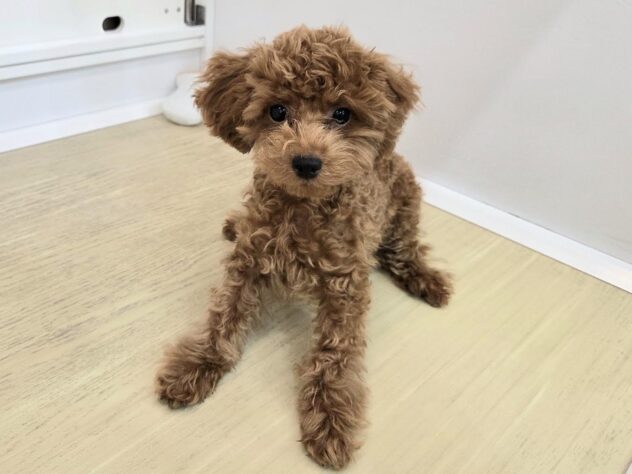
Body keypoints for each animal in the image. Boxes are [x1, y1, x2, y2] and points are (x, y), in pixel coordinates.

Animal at [156, 25, 452, 469]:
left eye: (342, 114)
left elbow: (334, 352)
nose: (307, 162)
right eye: (277, 111)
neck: (303, 207)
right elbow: (223, 317)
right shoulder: (248, 263)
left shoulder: (344, 283)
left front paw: (330, 417)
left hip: (405, 204)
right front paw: (197, 364)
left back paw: (426, 279)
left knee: (403, 251)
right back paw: (233, 224)